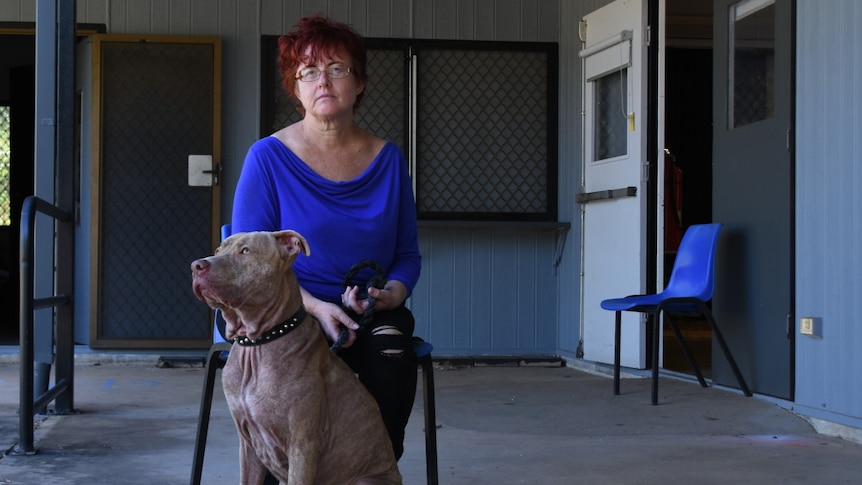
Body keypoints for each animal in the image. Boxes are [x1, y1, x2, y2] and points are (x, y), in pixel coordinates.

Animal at [191, 230, 404, 484]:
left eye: (245, 251)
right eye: (217, 250)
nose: (196, 265)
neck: (258, 345)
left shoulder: (302, 446)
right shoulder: (248, 445)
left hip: (367, 480)